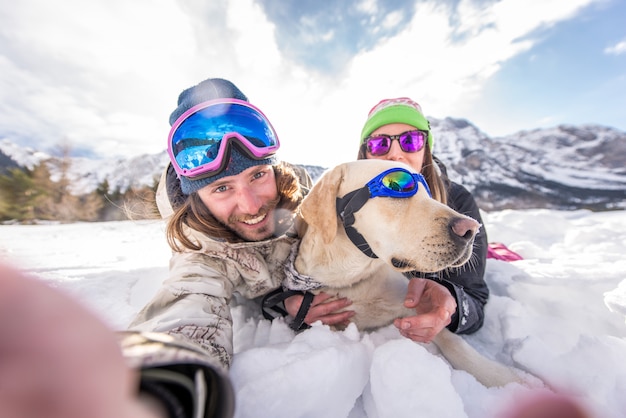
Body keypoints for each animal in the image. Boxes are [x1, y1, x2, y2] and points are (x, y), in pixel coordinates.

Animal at [288, 158, 532, 386]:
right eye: (396, 188)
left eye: (428, 193)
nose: (471, 230)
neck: (354, 277)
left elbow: (455, 342)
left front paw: (503, 378)